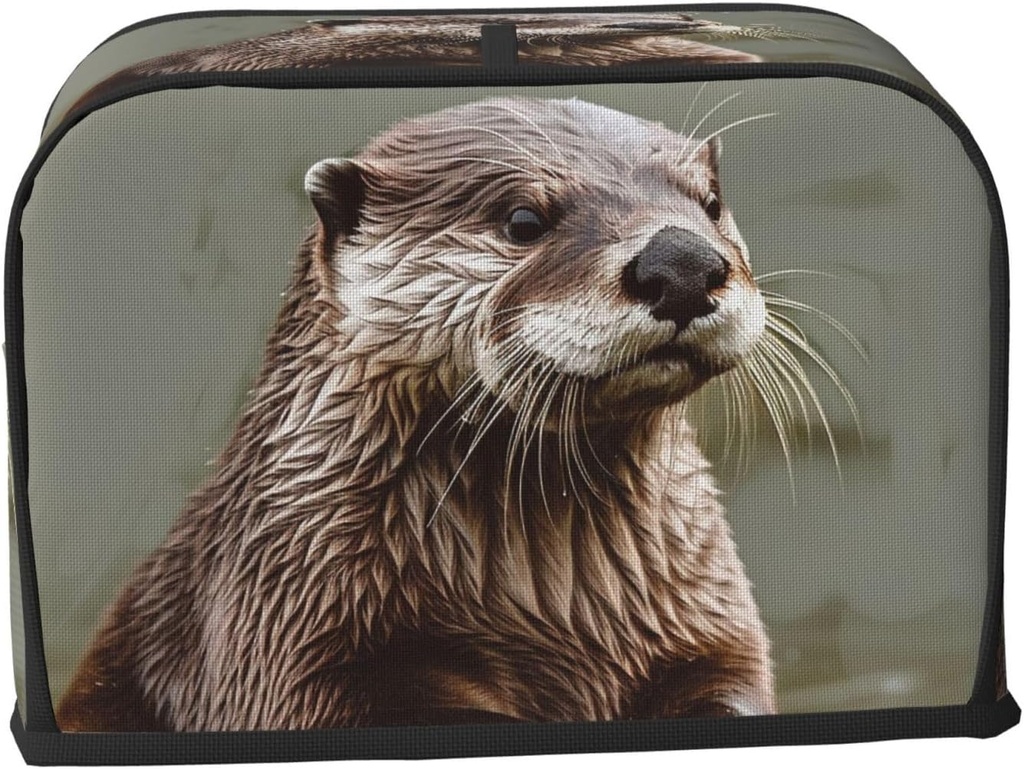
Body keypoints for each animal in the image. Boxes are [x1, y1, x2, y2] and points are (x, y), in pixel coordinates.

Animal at [56, 96, 775, 731]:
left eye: (710, 204)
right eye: (523, 220)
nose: (682, 261)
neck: (565, 615)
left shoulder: (707, 625)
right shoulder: (290, 647)